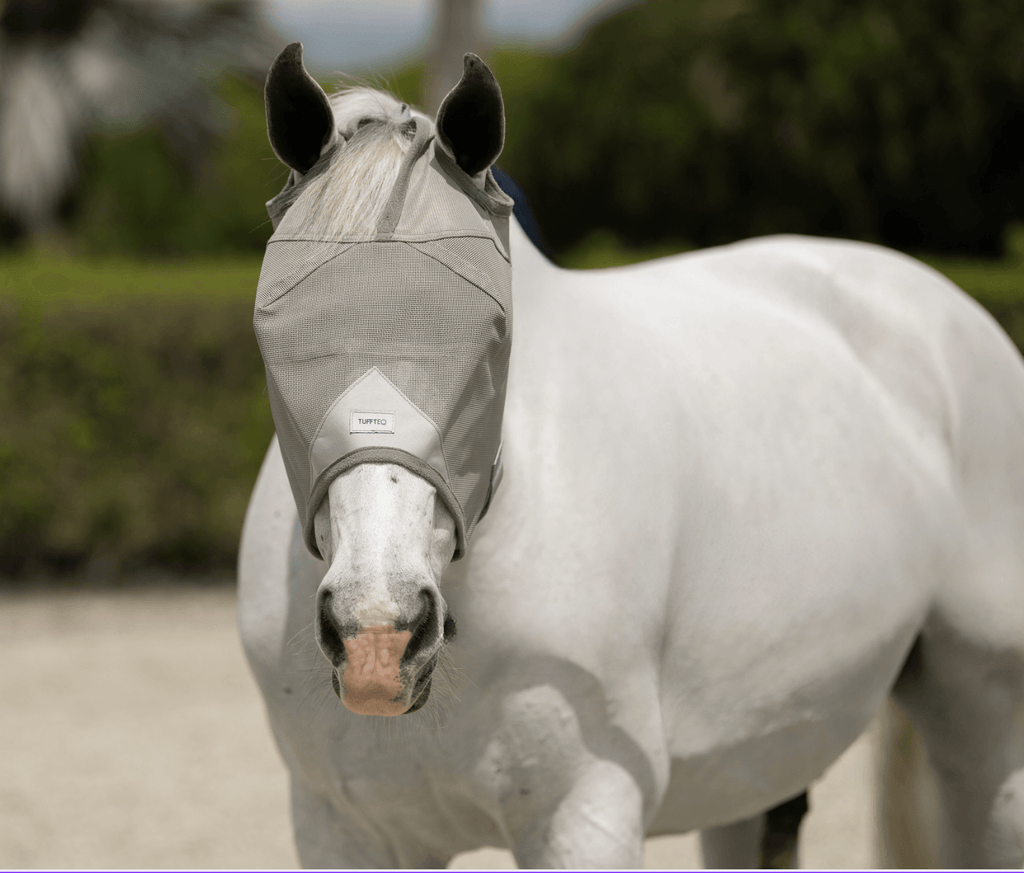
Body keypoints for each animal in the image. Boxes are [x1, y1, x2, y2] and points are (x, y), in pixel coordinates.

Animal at [237, 46, 1024, 863]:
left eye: (493, 336)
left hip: (986, 733)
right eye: (274, 337)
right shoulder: (346, 830)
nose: (379, 632)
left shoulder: (585, 813)